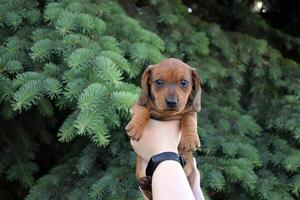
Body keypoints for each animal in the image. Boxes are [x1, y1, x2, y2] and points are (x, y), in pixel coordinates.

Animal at [125, 57, 203, 199]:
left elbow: (189, 118)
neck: (166, 115)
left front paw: (189, 138)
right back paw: (146, 182)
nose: (171, 102)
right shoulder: (138, 105)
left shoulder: (189, 110)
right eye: (159, 82)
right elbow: (143, 110)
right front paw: (135, 127)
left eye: (184, 82)